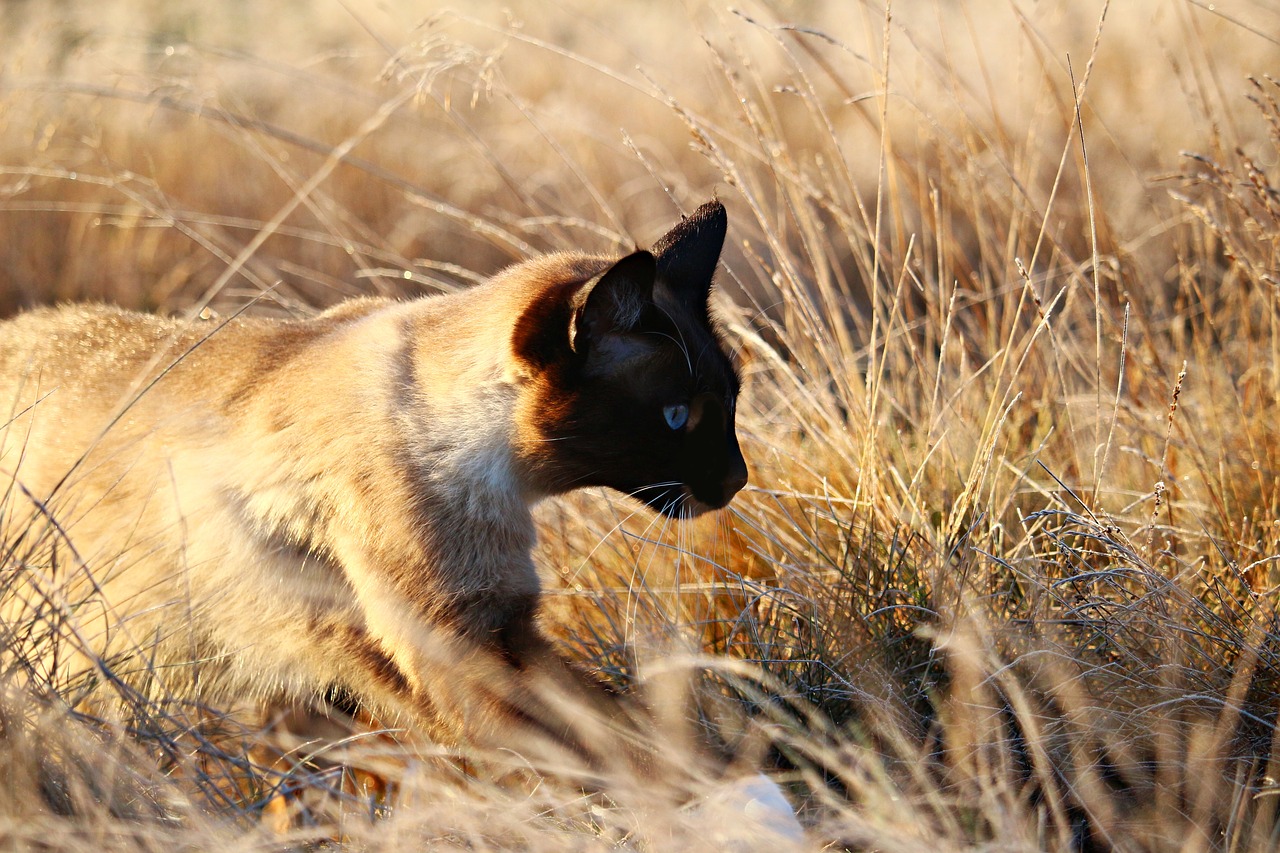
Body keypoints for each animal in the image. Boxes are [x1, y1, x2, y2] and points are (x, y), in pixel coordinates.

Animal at [2, 201, 768, 799]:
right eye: (675, 416)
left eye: (730, 403)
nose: (736, 479)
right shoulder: (462, 645)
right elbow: (624, 751)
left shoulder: (495, 624)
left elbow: (630, 731)